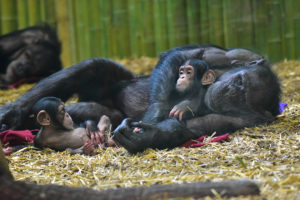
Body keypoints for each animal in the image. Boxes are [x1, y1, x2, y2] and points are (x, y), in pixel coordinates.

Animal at [0, 44, 282, 153]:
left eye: (243, 96)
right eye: (240, 81)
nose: (232, 90)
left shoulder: (239, 122)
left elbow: (191, 128)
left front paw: (147, 135)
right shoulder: (237, 54)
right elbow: (185, 55)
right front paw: (155, 114)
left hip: (101, 107)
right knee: (93, 67)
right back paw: (12, 114)